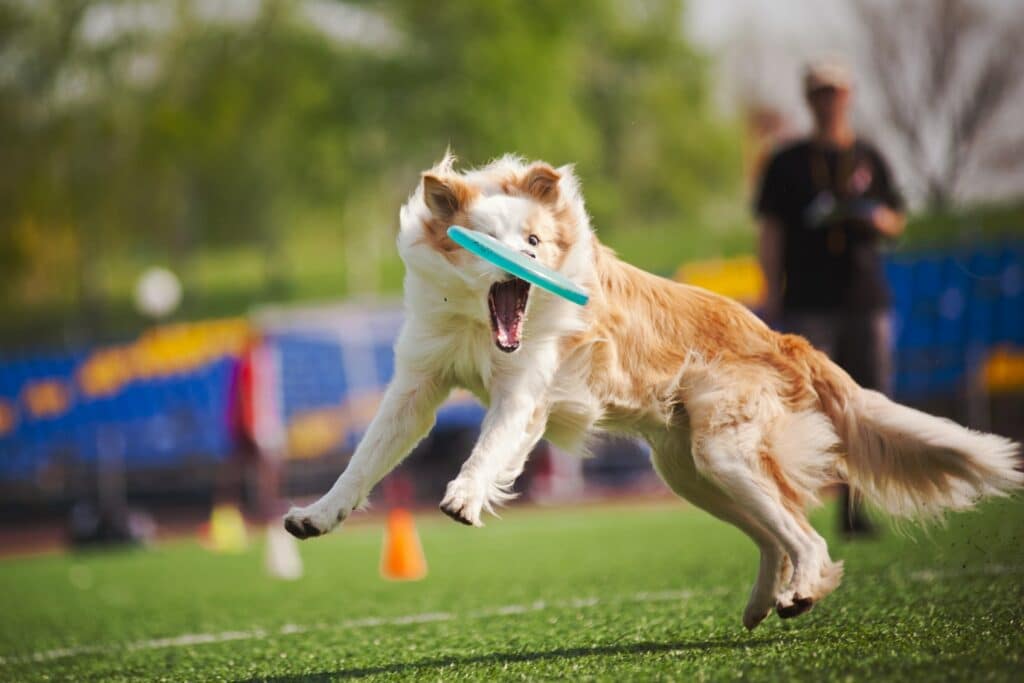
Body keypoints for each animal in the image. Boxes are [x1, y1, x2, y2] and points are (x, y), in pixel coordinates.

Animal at [284, 154, 1019, 630]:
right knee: (775, 532)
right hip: (690, 472)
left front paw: (464, 496)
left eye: (534, 238)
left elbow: (489, 446)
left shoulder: (524, 390)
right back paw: (764, 604)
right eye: (486, 240)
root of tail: (784, 337)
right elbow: (364, 460)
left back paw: (804, 591)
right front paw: (315, 516)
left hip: (722, 454)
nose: (525, 263)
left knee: (803, 533)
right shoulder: (416, 384)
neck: (476, 323)